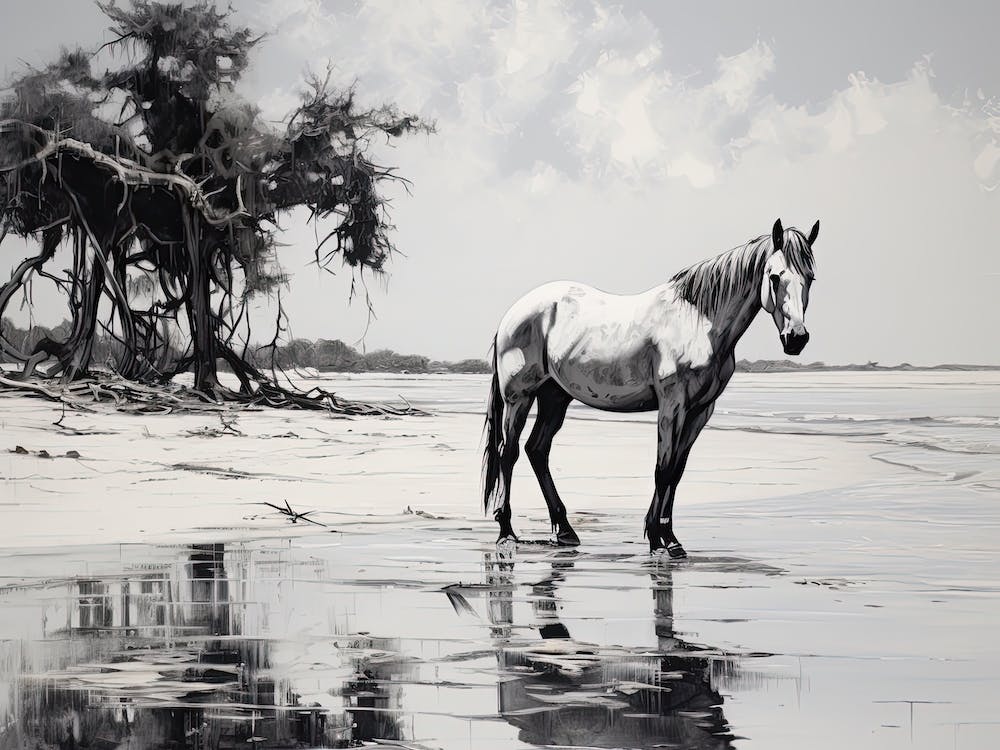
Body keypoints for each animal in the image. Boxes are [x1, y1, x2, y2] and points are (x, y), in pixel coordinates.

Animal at [482, 218, 819, 557]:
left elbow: (677, 471)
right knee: (508, 453)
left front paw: (670, 539)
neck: (698, 322)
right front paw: (658, 540)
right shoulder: (673, 405)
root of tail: (513, 315)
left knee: (537, 450)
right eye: (775, 277)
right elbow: (663, 468)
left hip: (555, 396)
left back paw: (565, 531)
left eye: (810, 277)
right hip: (519, 397)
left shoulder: (700, 410)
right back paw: (506, 532)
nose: (796, 338)